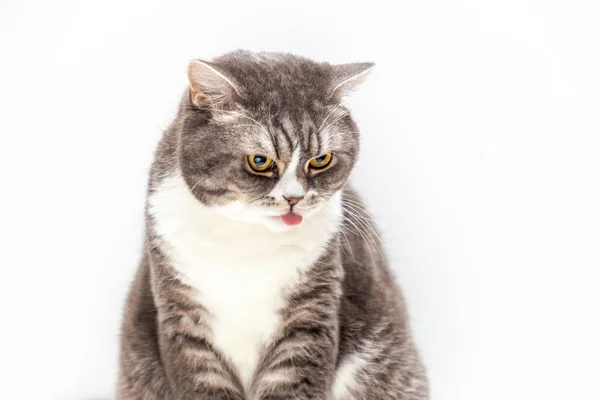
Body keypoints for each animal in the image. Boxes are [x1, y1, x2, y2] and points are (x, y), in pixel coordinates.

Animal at [117, 50, 426, 400]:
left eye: (321, 160)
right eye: (259, 161)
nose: (294, 198)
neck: (248, 244)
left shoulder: (310, 316)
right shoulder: (182, 316)